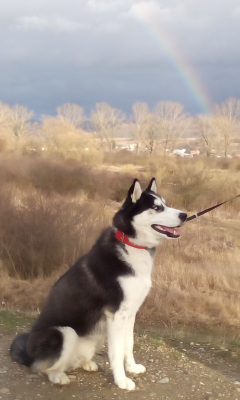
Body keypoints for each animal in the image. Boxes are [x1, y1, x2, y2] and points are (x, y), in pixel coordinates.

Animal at [10, 178, 188, 390]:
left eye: (165, 204)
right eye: (156, 207)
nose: (185, 215)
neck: (132, 245)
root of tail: (28, 355)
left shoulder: (130, 313)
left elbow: (128, 346)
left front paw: (132, 368)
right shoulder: (116, 315)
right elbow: (117, 352)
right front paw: (121, 380)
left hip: (97, 335)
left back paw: (87, 363)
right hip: (65, 332)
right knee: (42, 367)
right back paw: (58, 376)